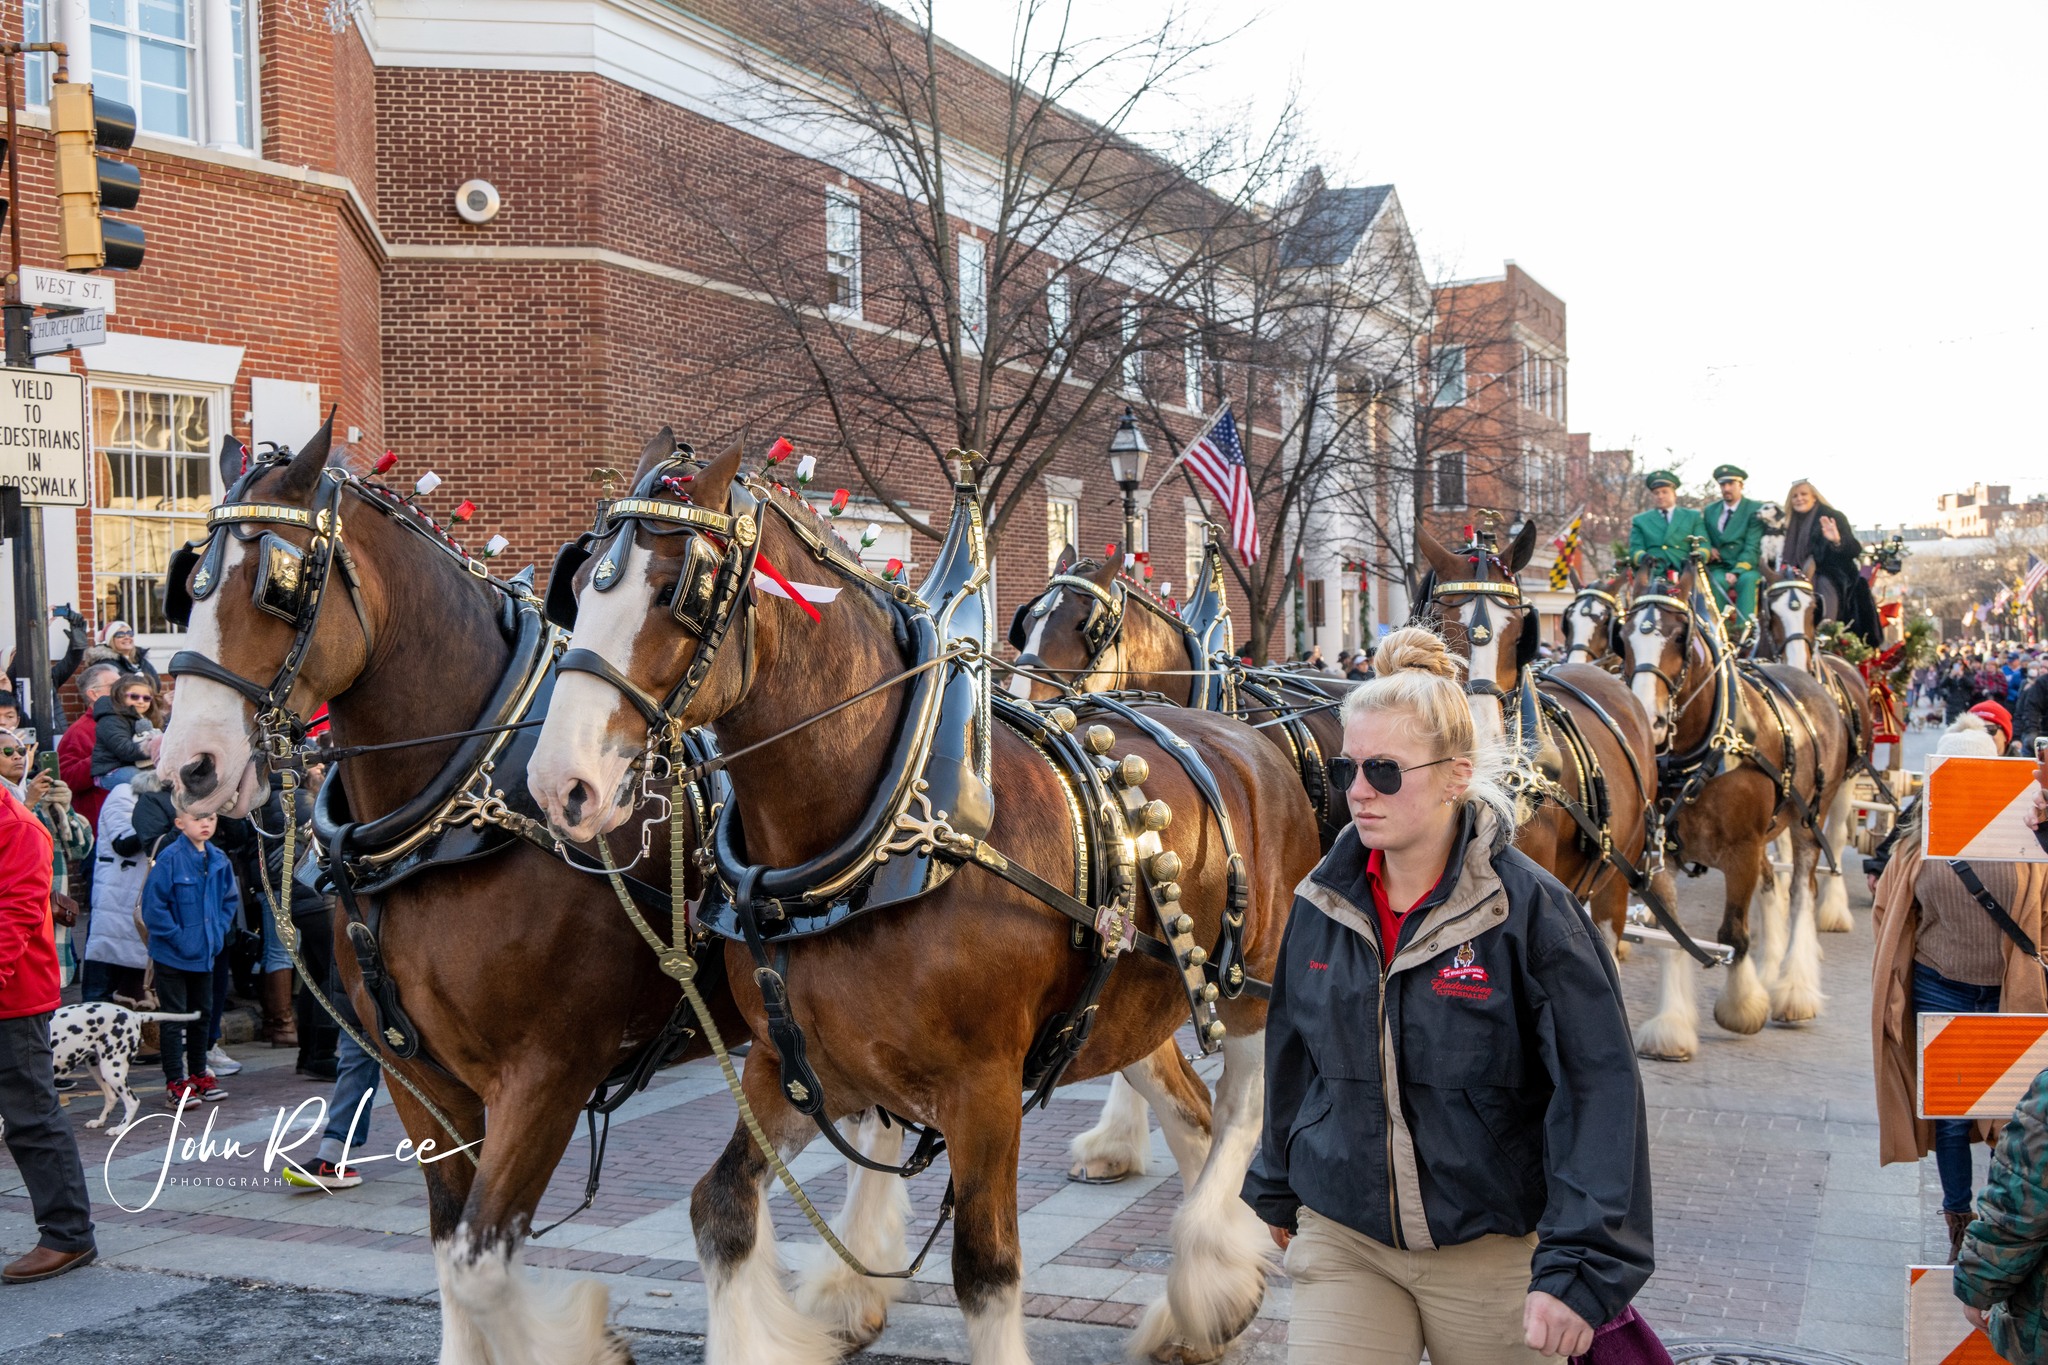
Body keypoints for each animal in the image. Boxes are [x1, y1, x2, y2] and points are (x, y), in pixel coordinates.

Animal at [51, 998, 200, 1137]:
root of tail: (134, 1015)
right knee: (112, 1097)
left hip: (112, 1071)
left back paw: (120, 1128)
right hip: (98, 1069)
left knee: (132, 1101)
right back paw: (100, 1121)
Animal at [149, 429, 761, 1365]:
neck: (466, 805)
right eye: (192, 581)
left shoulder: (547, 1074)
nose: (188, 768)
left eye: (279, 584)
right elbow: (451, 1251)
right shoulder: (419, 1075)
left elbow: (483, 1259)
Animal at [532, 439, 1327, 1365]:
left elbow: (985, 1267)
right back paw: (1211, 1290)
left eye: (677, 591)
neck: (887, 835)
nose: (559, 781)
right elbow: (720, 1208)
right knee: (1195, 1114)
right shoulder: (795, 1062)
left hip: (1251, 985)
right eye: (582, 585)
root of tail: (1248, 741)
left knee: (1240, 1108)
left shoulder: (983, 1086)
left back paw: (1206, 1269)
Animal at [1622, 560, 1851, 1064]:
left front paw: (1742, 1006)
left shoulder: (1742, 850)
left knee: (1801, 890)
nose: (1647, 719)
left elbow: (1732, 934)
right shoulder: (1661, 853)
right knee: (1771, 884)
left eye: (1680, 636)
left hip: (1809, 819)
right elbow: (1673, 934)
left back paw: (1793, 988)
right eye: (1622, 636)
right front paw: (1672, 1028)